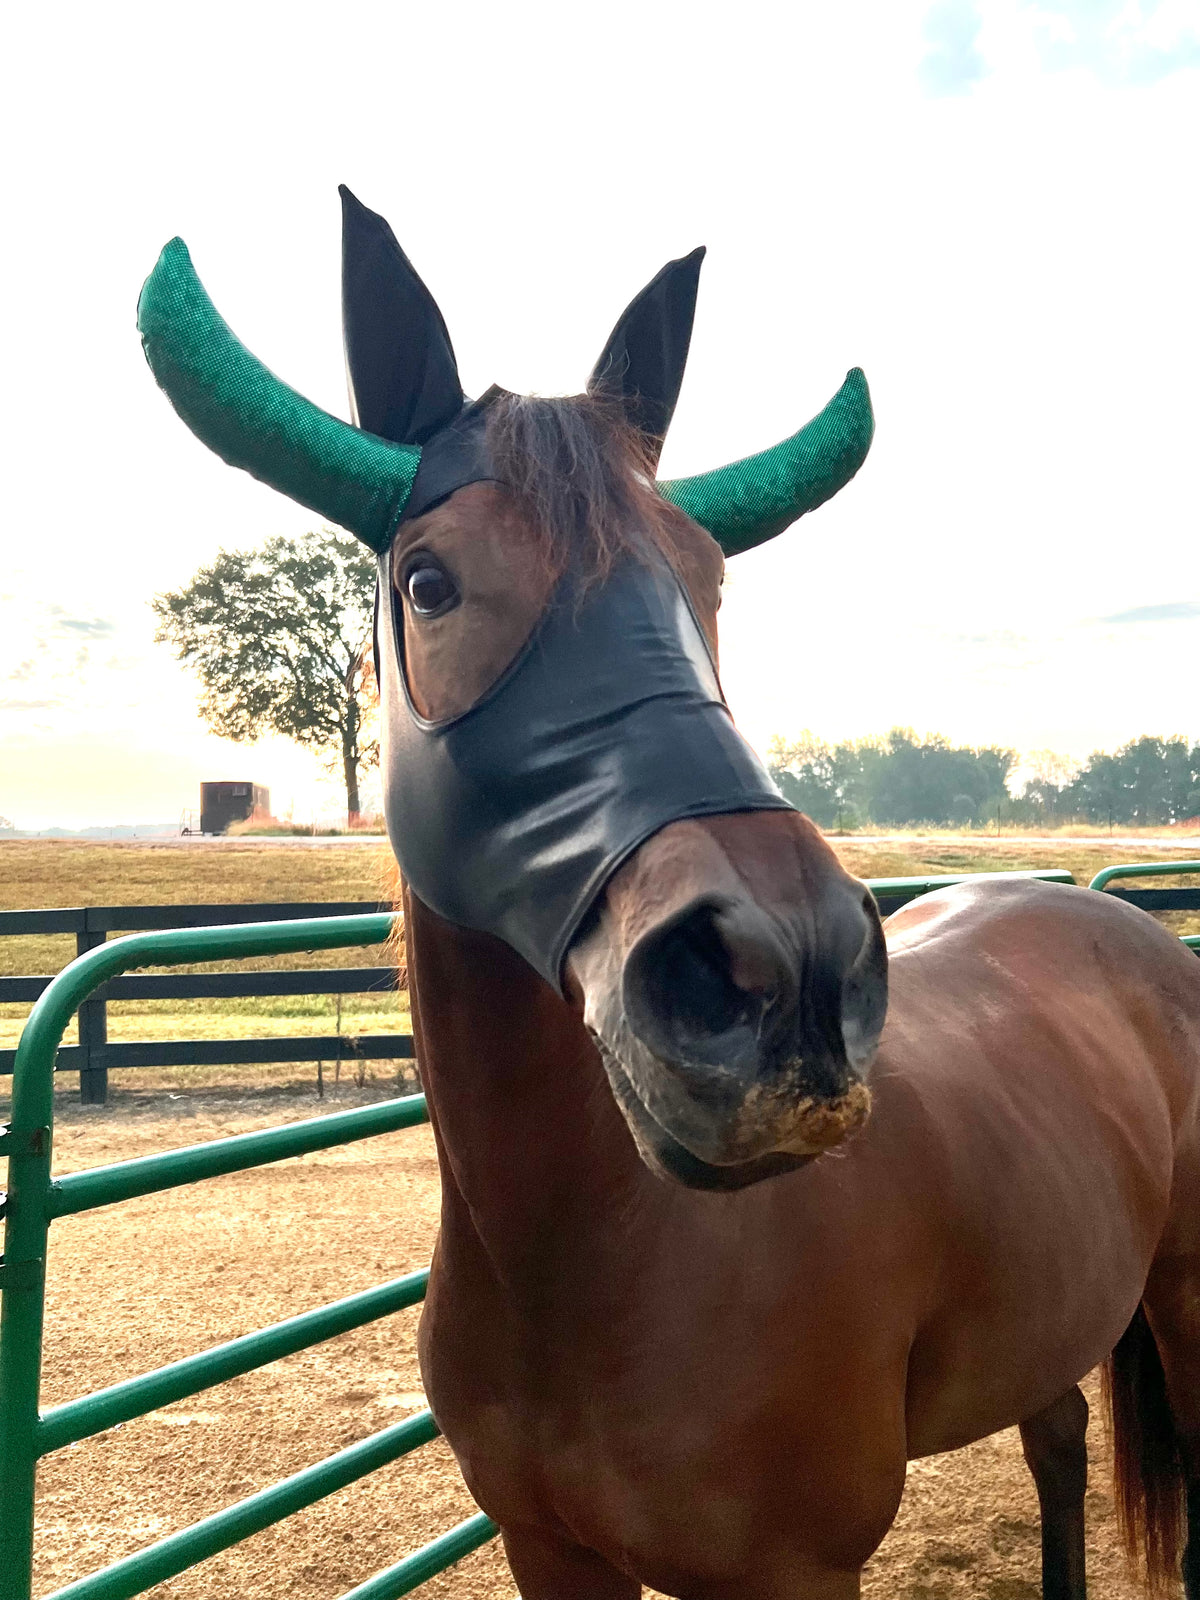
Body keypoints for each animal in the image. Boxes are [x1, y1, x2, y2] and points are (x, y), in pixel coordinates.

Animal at [138, 191, 1200, 1598]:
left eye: (707, 583)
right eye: (427, 580)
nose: (788, 976)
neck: (599, 1258)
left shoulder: (793, 1570)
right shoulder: (549, 1548)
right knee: (1060, 1440)